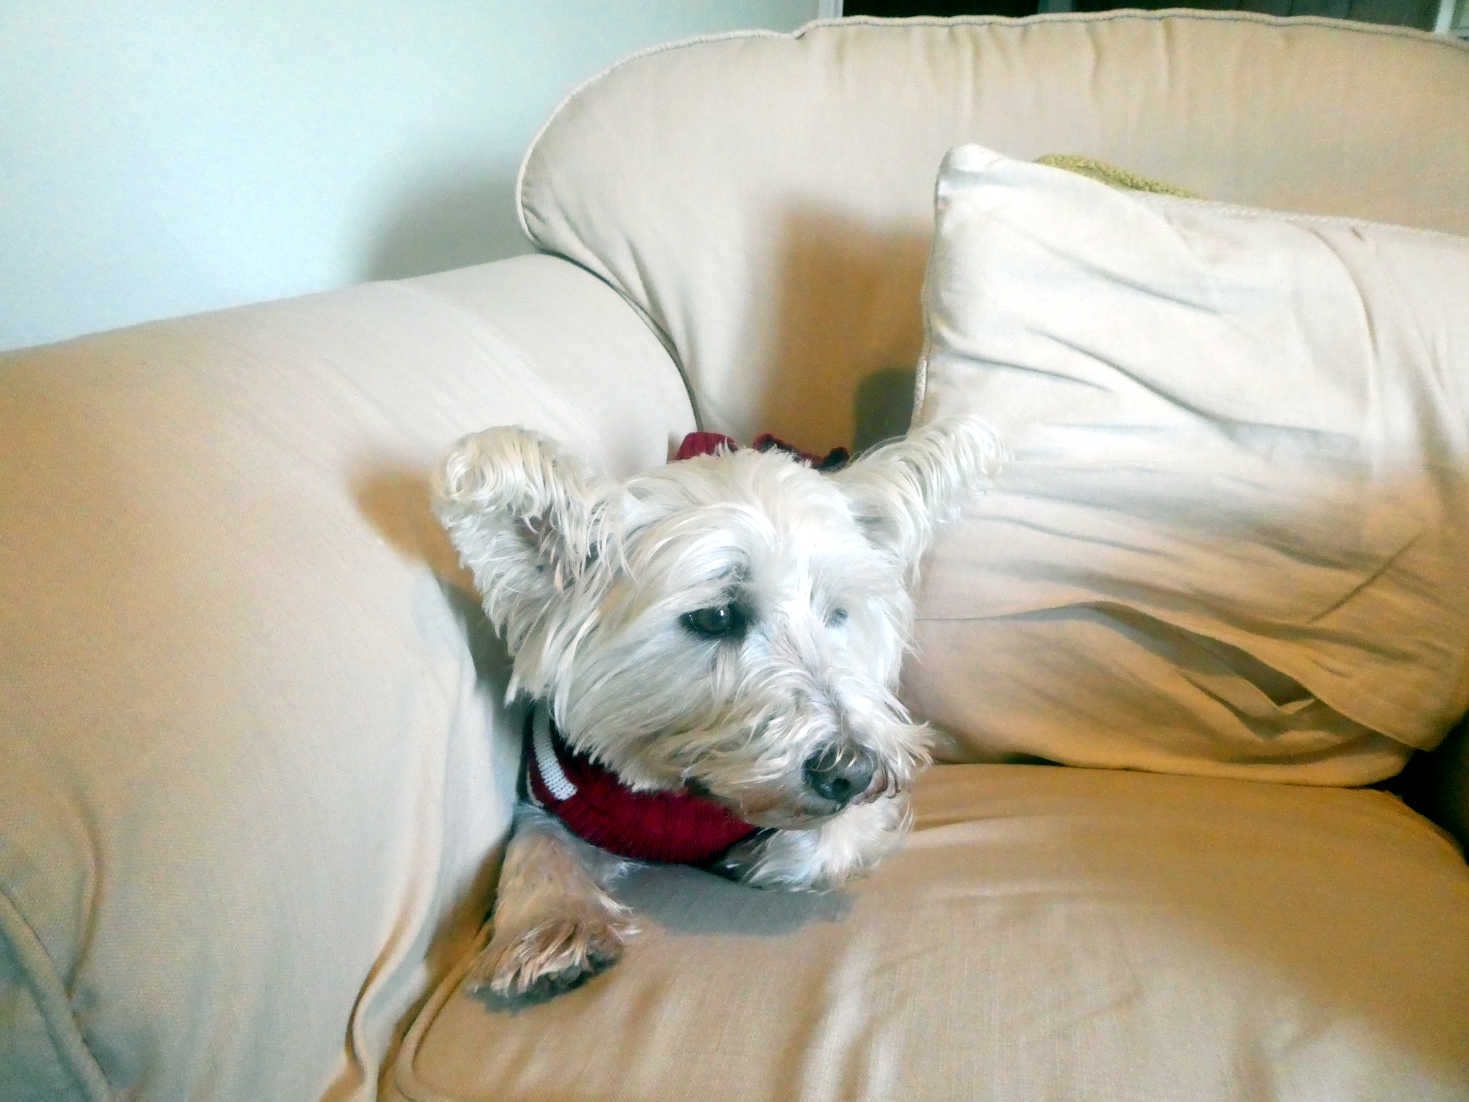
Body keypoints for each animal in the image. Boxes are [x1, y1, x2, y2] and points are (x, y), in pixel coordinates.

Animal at [428, 414, 993, 999]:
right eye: (717, 616)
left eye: (836, 613)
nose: (852, 773)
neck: (684, 797)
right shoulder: (552, 791)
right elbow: (537, 844)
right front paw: (549, 924)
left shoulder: (869, 794)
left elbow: (826, 843)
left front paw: (760, 856)